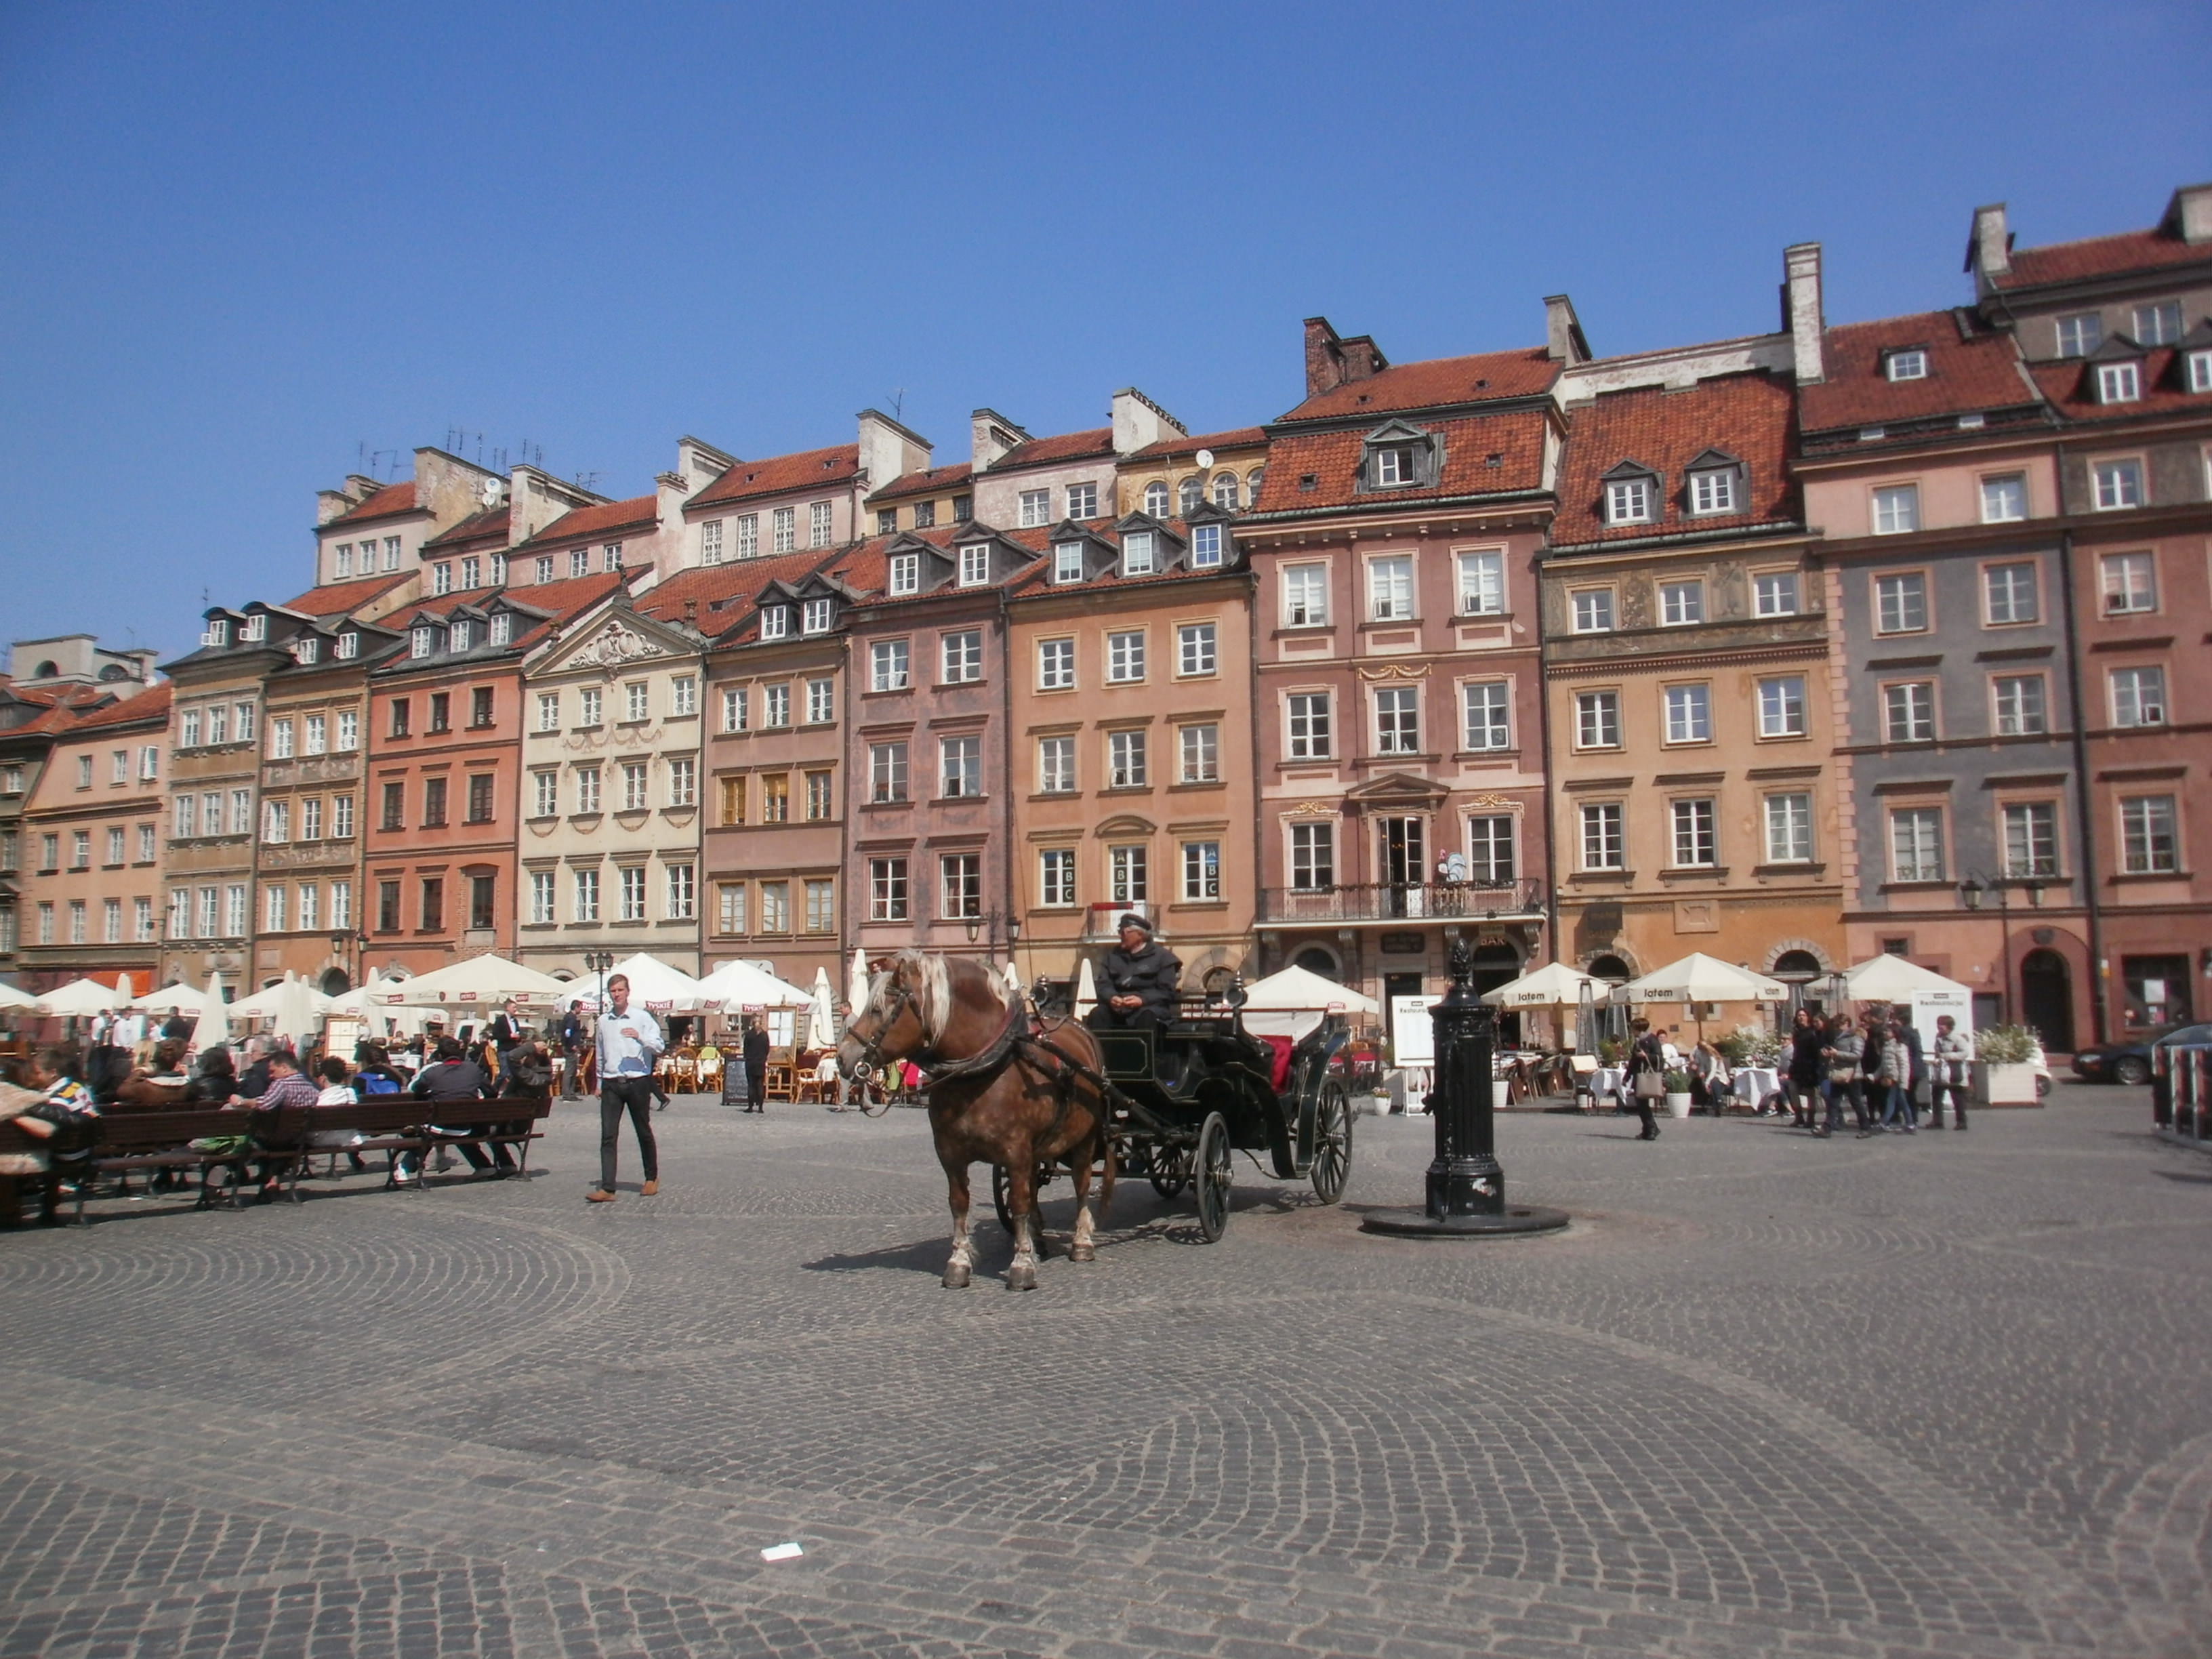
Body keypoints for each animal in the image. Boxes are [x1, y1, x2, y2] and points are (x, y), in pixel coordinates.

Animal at [836, 956, 1115, 1292]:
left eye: (878, 1009)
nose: (841, 1057)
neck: (982, 1069)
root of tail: (1080, 1030)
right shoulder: (950, 1154)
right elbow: (960, 1203)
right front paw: (959, 1262)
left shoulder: (1016, 1151)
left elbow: (1018, 1202)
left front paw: (1022, 1265)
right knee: (1036, 1188)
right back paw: (1038, 1239)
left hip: (1084, 1139)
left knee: (1081, 1183)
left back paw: (1081, 1241)